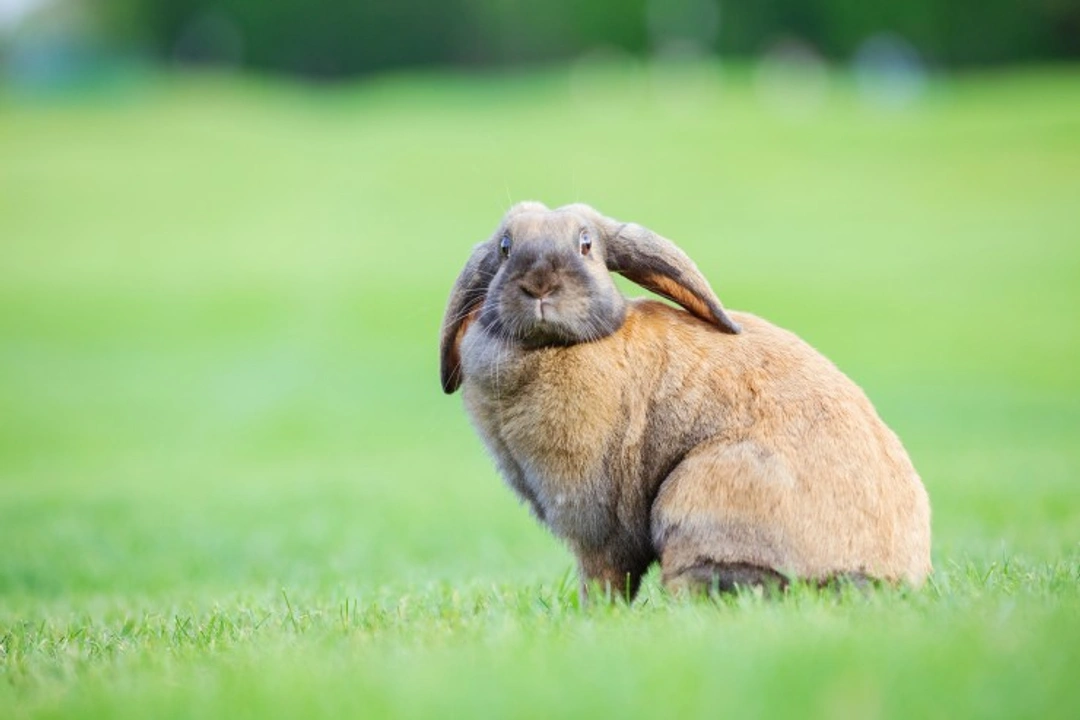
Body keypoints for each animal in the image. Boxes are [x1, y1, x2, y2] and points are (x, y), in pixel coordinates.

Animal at [440, 201, 931, 599]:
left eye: (586, 245)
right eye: (505, 247)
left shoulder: (597, 523)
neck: (553, 347)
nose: (539, 285)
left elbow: (604, 578)